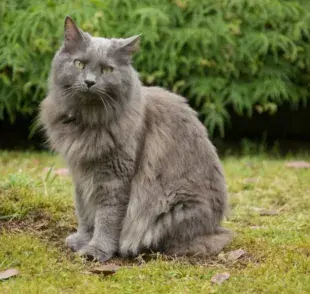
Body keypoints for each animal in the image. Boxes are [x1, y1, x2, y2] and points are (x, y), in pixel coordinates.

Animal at [39, 16, 232, 262]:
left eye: (107, 69)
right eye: (79, 64)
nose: (90, 82)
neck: (88, 121)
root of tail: (214, 227)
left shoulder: (115, 179)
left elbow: (107, 218)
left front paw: (96, 250)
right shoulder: (81, 175)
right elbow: (84, 211)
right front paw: (82, 240)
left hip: (173, 208)